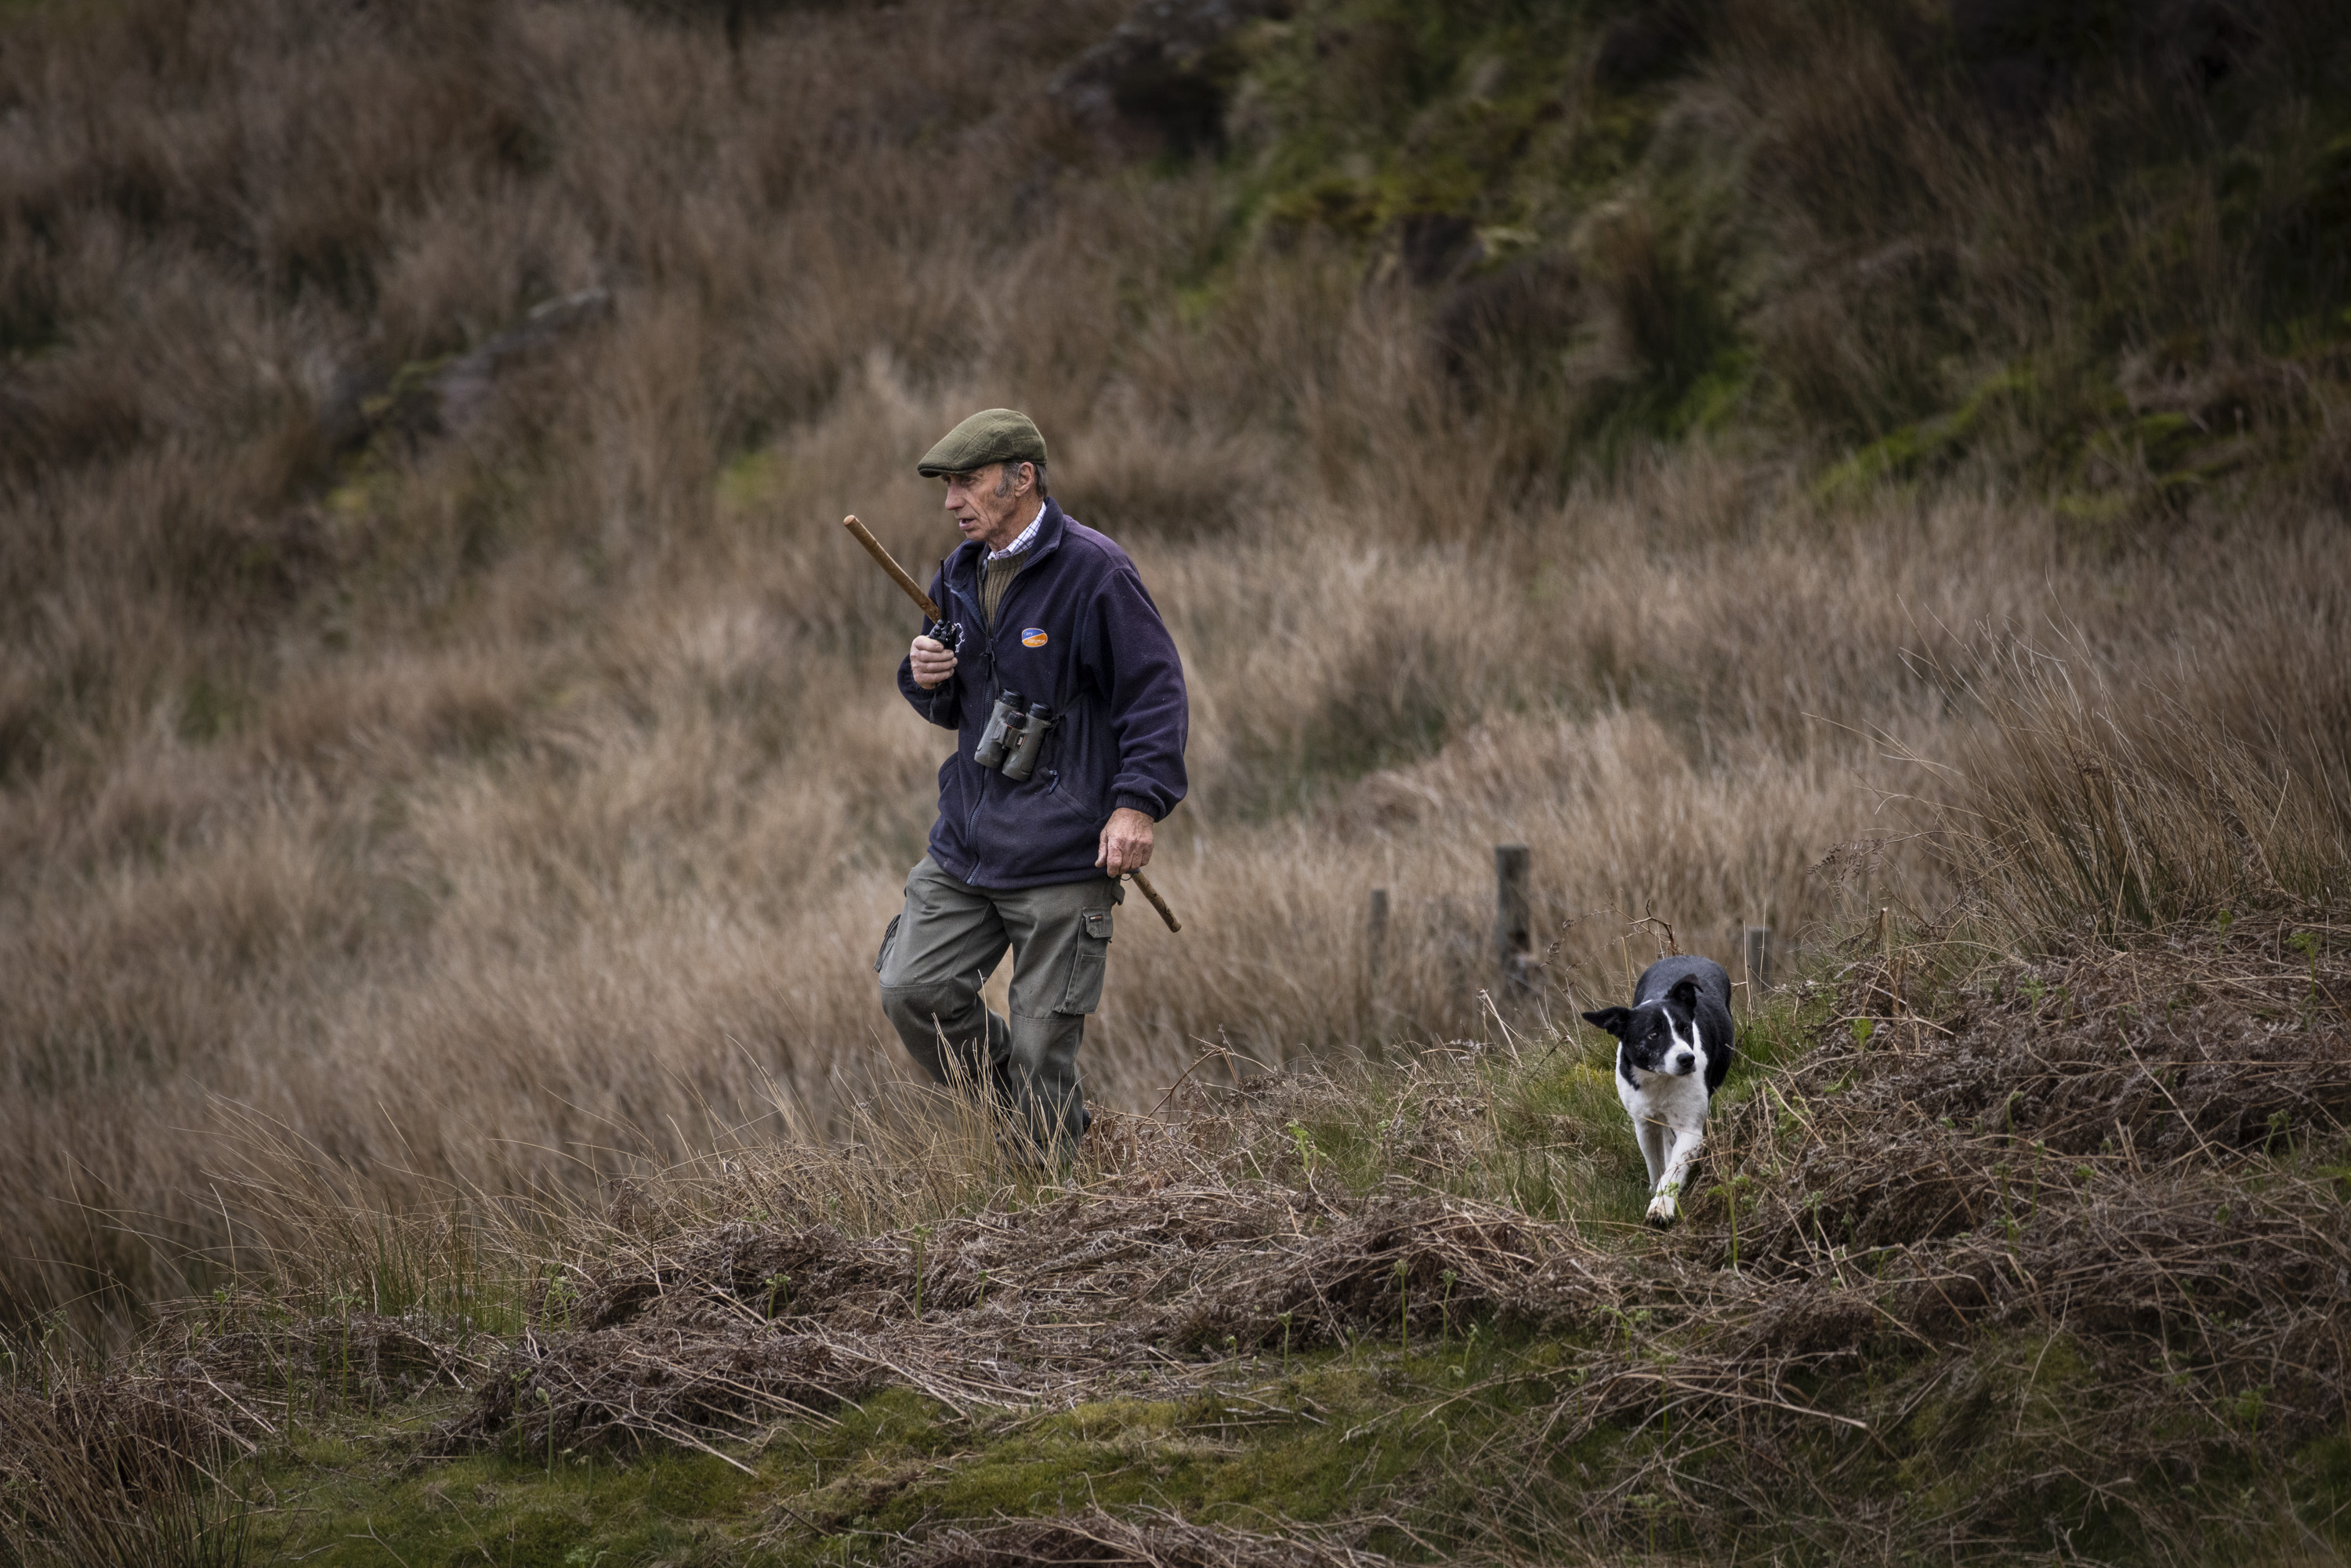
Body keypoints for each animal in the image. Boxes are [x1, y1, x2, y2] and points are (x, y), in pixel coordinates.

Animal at [1582, 955, 1736, 1225]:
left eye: (1685, 1028)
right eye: (1653, 1035)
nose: (1687, 1059)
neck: (1659, 1079)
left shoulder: (1689, 1128)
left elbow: (1673, 1169)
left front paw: (1661, 1208)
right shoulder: (1644, 1123)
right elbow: (1655, 1165)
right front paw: (1655, 1192)